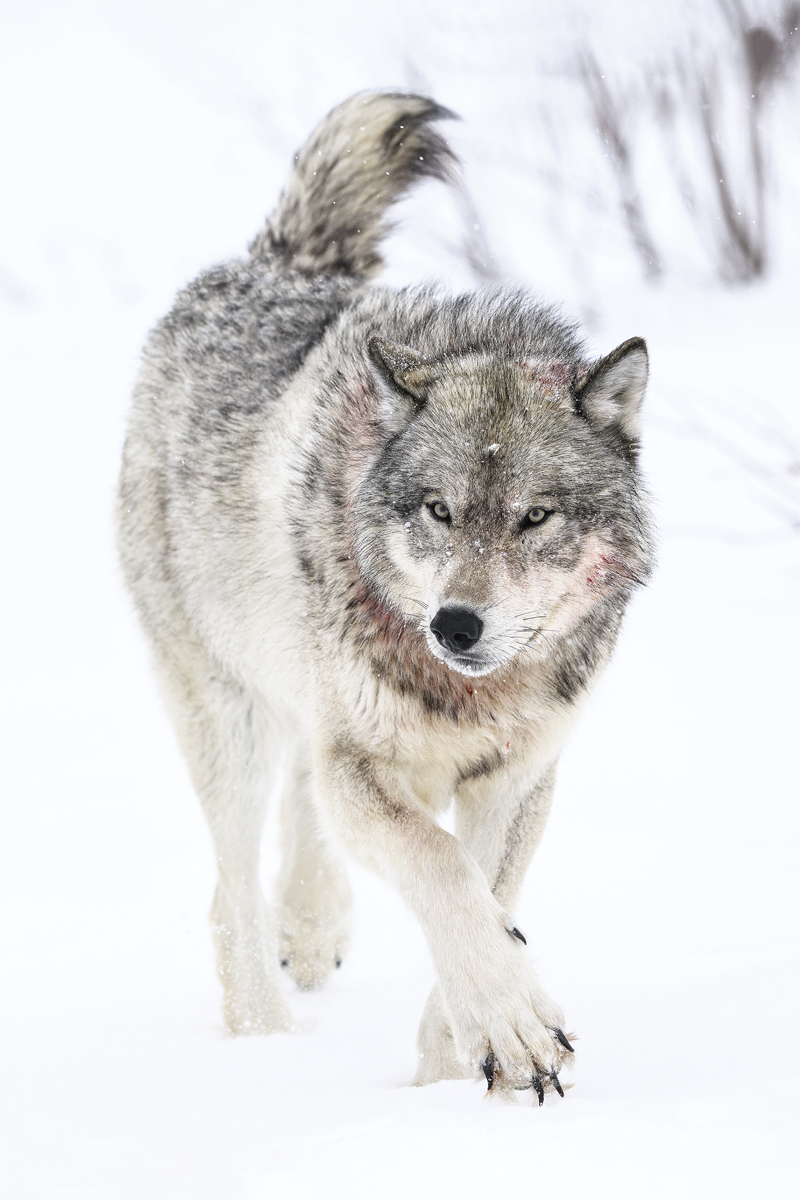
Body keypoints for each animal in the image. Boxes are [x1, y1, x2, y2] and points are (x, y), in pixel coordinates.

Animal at [118, 91, 654, 1101]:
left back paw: (311, 931)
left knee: (291, 814)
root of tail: (275, 264)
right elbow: (444, 874)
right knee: (230, 891)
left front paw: (457, 1074)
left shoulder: (517, 779)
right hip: (228, 715)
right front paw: (511, 1027)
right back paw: (263, 1045)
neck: (464, 692)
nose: (456, 623)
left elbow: (488, 898)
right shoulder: (363, 767)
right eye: (440, 509)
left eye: (534, 517)